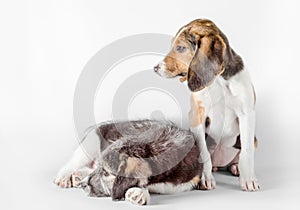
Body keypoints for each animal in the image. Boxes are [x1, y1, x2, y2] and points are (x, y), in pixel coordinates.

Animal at [55, 120, 203, 205]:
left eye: (106, 173)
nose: (82, 185)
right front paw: (140, 192)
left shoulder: (188, 182)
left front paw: (139, 192)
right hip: (91, 141)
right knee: (73, 162)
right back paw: (65, 177)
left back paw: (78, 175)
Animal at [155, 19, 260, 192]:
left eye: (180, 48)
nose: (155, 68)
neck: (218, 82)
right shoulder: (197, 117)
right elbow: (203, 153)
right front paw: (205, 177)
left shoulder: (247, 114)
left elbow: (247, 151)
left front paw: (249, 179)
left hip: (254, 139)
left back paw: (236, 167)